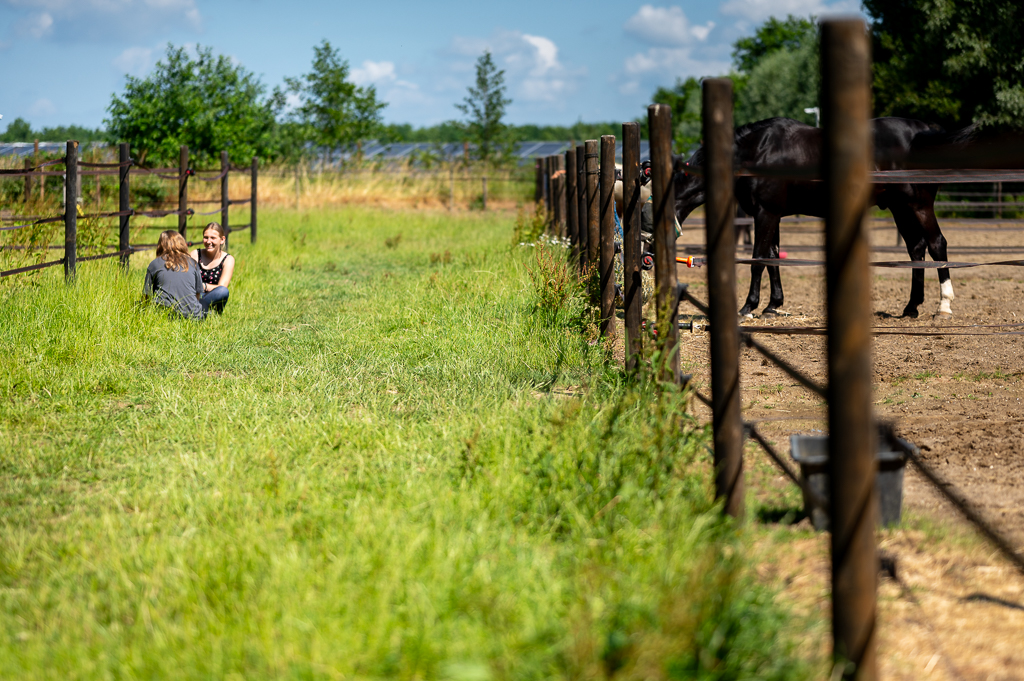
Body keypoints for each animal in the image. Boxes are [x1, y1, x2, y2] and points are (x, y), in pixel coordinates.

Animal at [675, 116, 954, 315]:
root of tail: (924, 130)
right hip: (900, 207)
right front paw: (773, 305)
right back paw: (911, 307)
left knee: (936, 244)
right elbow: (772, 258)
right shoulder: (772, 215)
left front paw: (749, 307)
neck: (757, 152)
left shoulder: (765, 213)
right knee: (916, 249)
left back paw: (944, 305)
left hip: (918, 205)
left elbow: (757, 260)